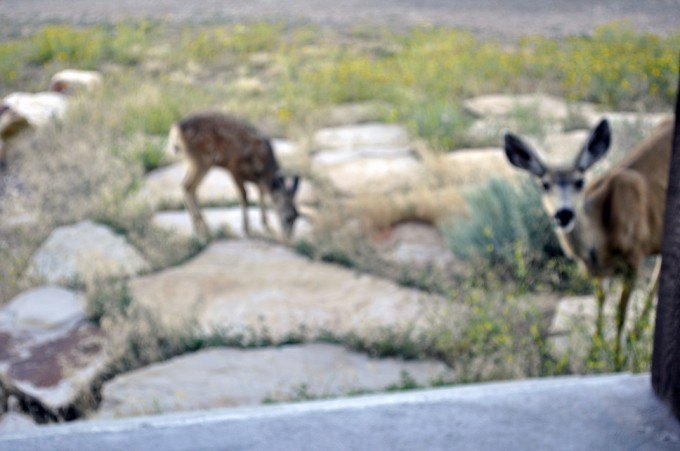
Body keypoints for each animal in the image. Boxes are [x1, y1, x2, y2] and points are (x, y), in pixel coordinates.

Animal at [168, 112, 300, 243]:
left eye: (297, 216)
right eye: (288, 217)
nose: (289, 238)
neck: (263, 169)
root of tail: (176, 129)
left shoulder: (258, 181)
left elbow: (260, 196)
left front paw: (266, 226)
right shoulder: (234, 167)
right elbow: (245, 196)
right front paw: (247, 229)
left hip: (195, 161)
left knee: (187, 187)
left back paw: (199, 228)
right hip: (202, 160)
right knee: (188, 186)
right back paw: (204, 229)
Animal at [504, 116, 674, 364]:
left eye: (579, 181)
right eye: (545, 184)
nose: (564, 214)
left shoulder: (634, 256)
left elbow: (620, 313)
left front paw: (617, 357)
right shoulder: (598, 273)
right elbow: (600, 307)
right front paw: (595, 351)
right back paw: (636, 334)